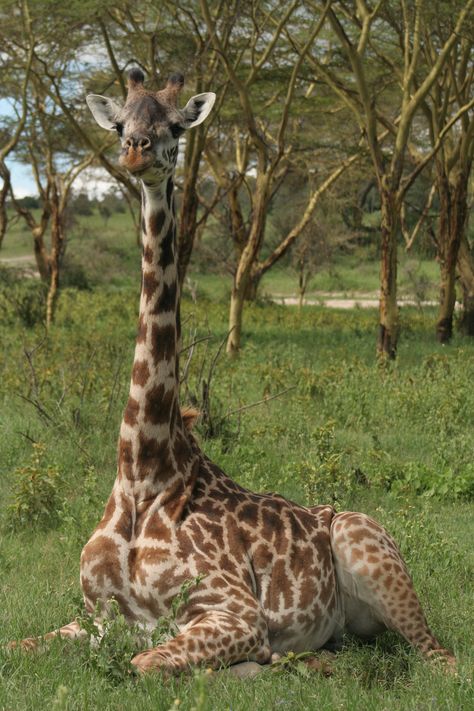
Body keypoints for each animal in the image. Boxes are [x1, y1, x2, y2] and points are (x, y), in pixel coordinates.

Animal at [10, 69, 456, 676]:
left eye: (176, 126)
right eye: (121, 125)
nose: (136, 152)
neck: (142, 473)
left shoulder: (234, 612)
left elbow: (145, 662)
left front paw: (247, 666)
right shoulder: (95, 619)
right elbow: (17, 647)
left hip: (364, 542)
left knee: (440, 659)